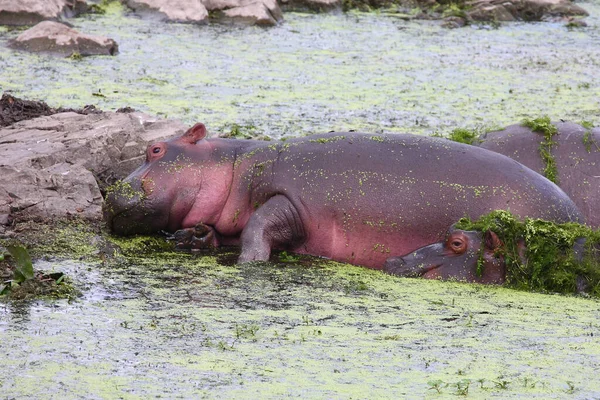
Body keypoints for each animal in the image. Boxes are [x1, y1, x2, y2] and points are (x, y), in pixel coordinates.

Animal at [103, 123, 580, 270]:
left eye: (154, 149)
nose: (109, 195)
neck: (238, 164)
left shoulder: (291, 202)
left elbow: (261, 225)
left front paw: (248, 264)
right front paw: (198, 239)